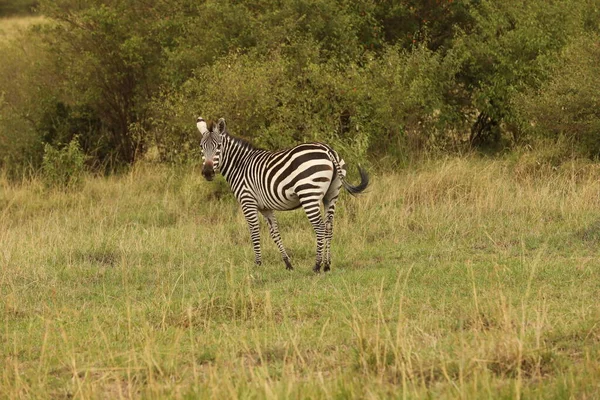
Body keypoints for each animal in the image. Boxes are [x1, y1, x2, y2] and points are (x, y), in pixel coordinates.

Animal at [199, 115, 368, 272]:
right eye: (201, 147)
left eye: (218, 146)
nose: (207, 172)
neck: (240, 165)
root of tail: (327, 149)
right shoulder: (265, 208)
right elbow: (275, 233)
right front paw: (288, 263)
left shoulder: (248, 202)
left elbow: (254, 233)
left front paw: (258, 264)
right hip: (331, 195)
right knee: (329, 227)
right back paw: (327, 265)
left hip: (309, 194)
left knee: (319, 227)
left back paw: (317, 265)